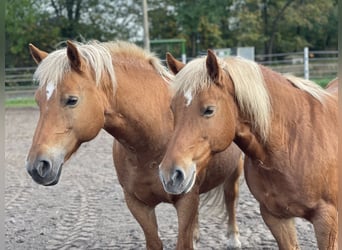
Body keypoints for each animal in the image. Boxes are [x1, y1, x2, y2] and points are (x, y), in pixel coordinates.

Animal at [24, 42, 243, 249]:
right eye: (38, 101)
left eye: (71, 100)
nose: (37, 166)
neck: (150, 145)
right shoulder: (137, 203)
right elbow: (155, 243)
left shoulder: (186, 199)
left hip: (235, 173)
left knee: (231, 199)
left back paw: (233, 239)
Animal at [159, 51, 338, 250]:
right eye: (173, 109)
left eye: (209, 110)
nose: (170, 175)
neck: (293, 144)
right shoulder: (276, 218)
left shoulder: (326, 220)